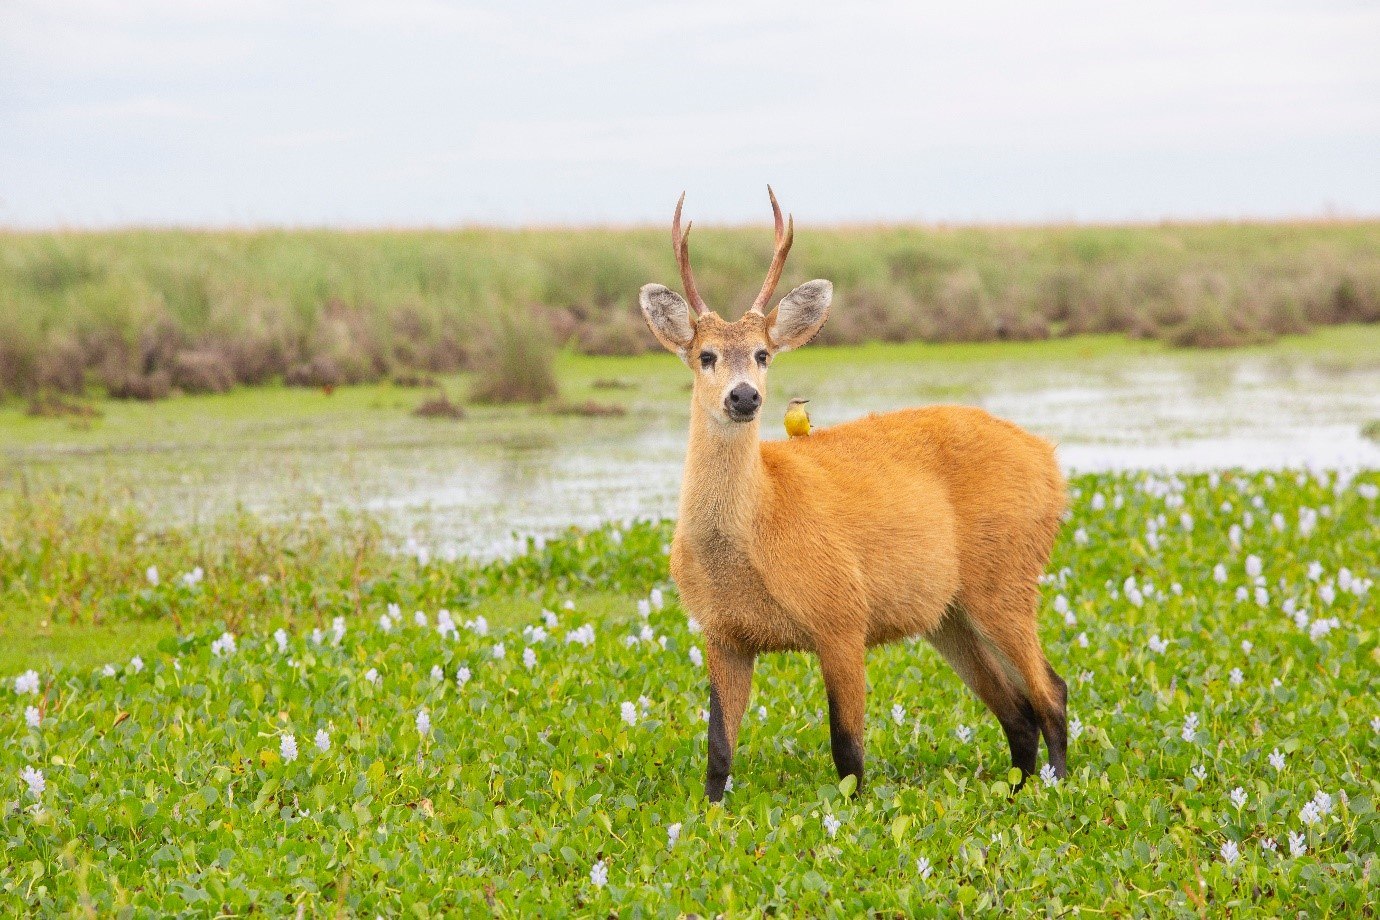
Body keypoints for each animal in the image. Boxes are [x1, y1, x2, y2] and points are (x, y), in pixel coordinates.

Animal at [640, 190, 1070, 800]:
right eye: (706, 356)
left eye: (763, 353)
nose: (744, 396)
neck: (758, 525)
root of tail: (1051, 462)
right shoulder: (723, 634)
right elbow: (718, 750)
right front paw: (711, 812)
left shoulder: (841, 615)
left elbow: (847, 748)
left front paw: (854, 811)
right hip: (950, 615)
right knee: (1018, 710)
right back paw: (1017, 789)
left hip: (1006, 576)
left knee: (1051, 692)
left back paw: (1056, 788)